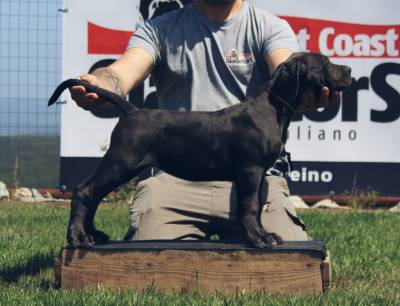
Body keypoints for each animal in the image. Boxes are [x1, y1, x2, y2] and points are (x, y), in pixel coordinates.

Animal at [48, 52, 352, 249]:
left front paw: (263, 234)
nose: (349, 70)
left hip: (122, 166)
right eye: (324, 63)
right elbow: (250, 207)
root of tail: (132, 111)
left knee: (95, 195)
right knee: (85, 191)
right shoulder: (250, 170)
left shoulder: (258, 175)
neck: (273, 109)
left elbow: (255, 208)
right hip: (121, 161)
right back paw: (77, 238)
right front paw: (259, 239)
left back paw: (93, 235)